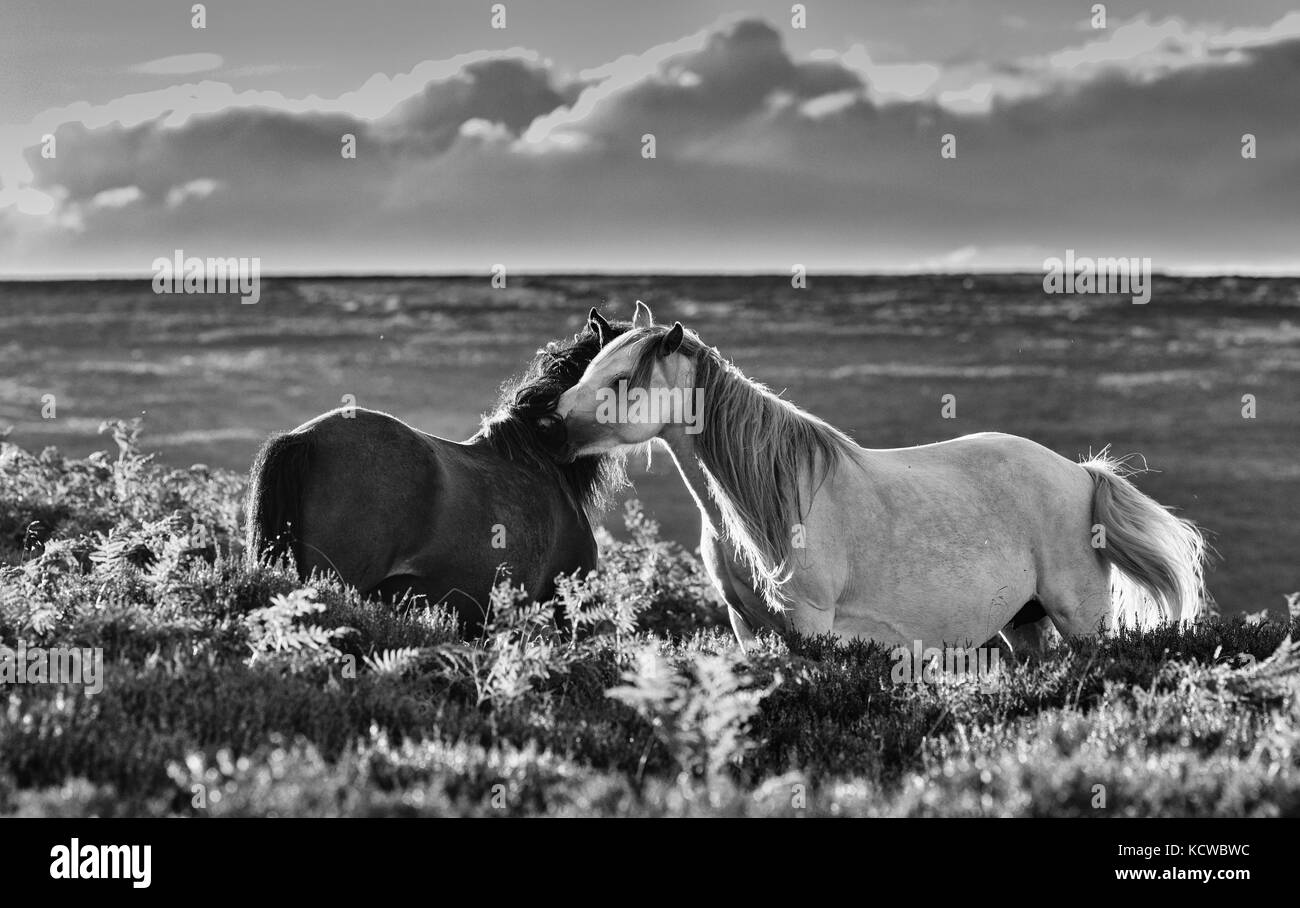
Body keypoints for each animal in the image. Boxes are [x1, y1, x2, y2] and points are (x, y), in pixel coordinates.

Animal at [553, 302, 1208, 654]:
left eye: (622, 381)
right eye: (587, 369)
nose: (551, 423)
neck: (770, 503)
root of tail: (1080, 474)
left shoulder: (809, 624)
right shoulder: (747, 626)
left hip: (1082, 623)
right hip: (1024, 626)